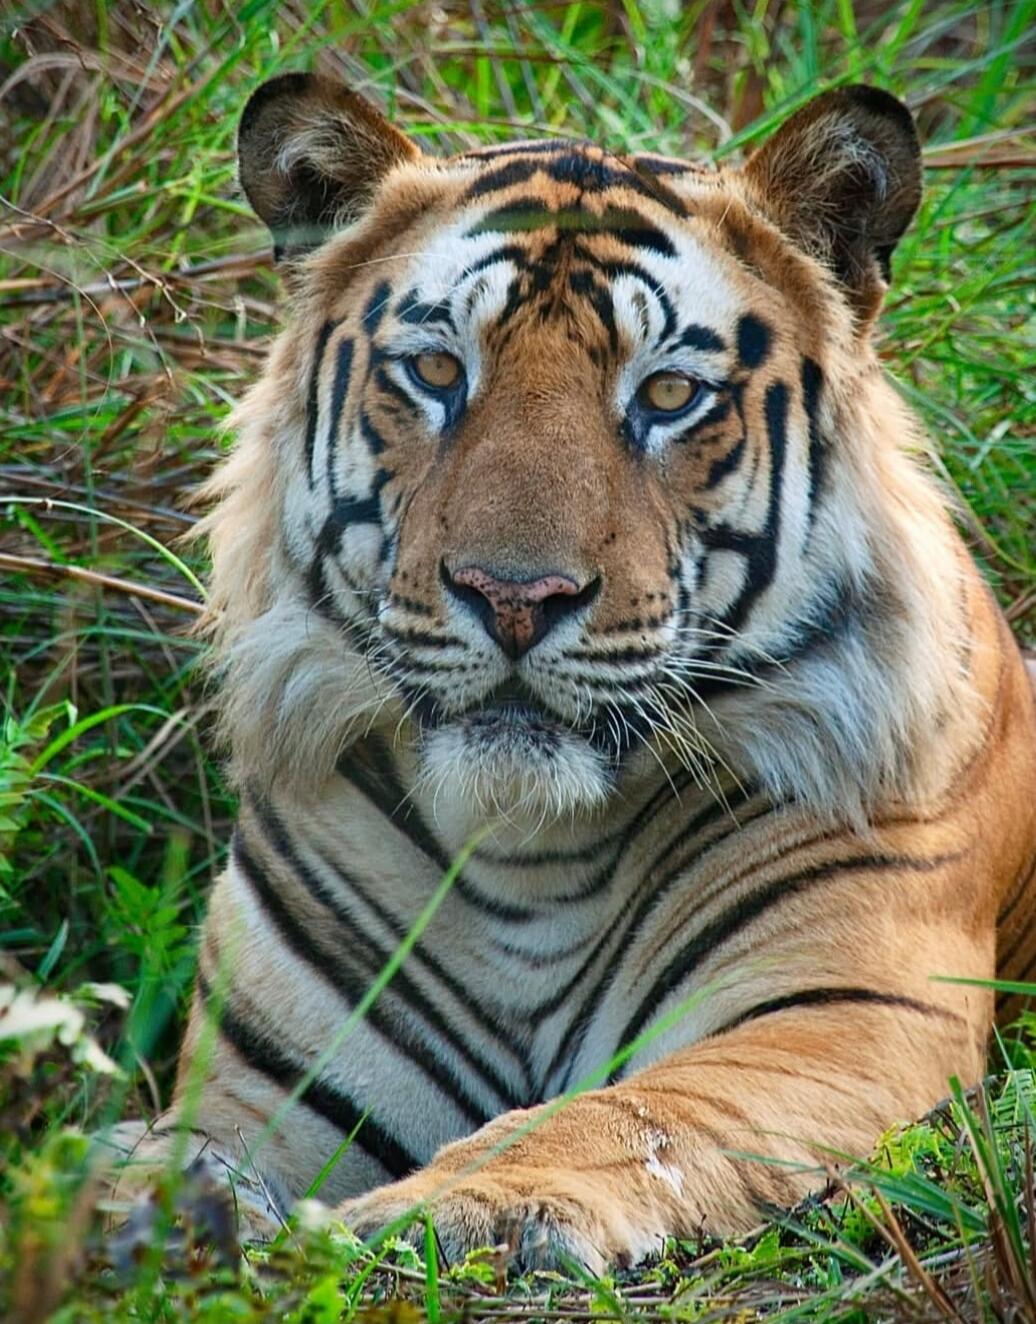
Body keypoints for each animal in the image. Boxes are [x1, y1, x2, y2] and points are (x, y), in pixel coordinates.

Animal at [109, 74, 1036, 1274]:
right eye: (438, 372)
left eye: (669, 394)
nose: (514, 595)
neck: (527, 857)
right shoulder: (261, 1087)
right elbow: (170, 1160)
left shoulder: (842, 1011)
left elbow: (629, 1111)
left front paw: (457, 1206)